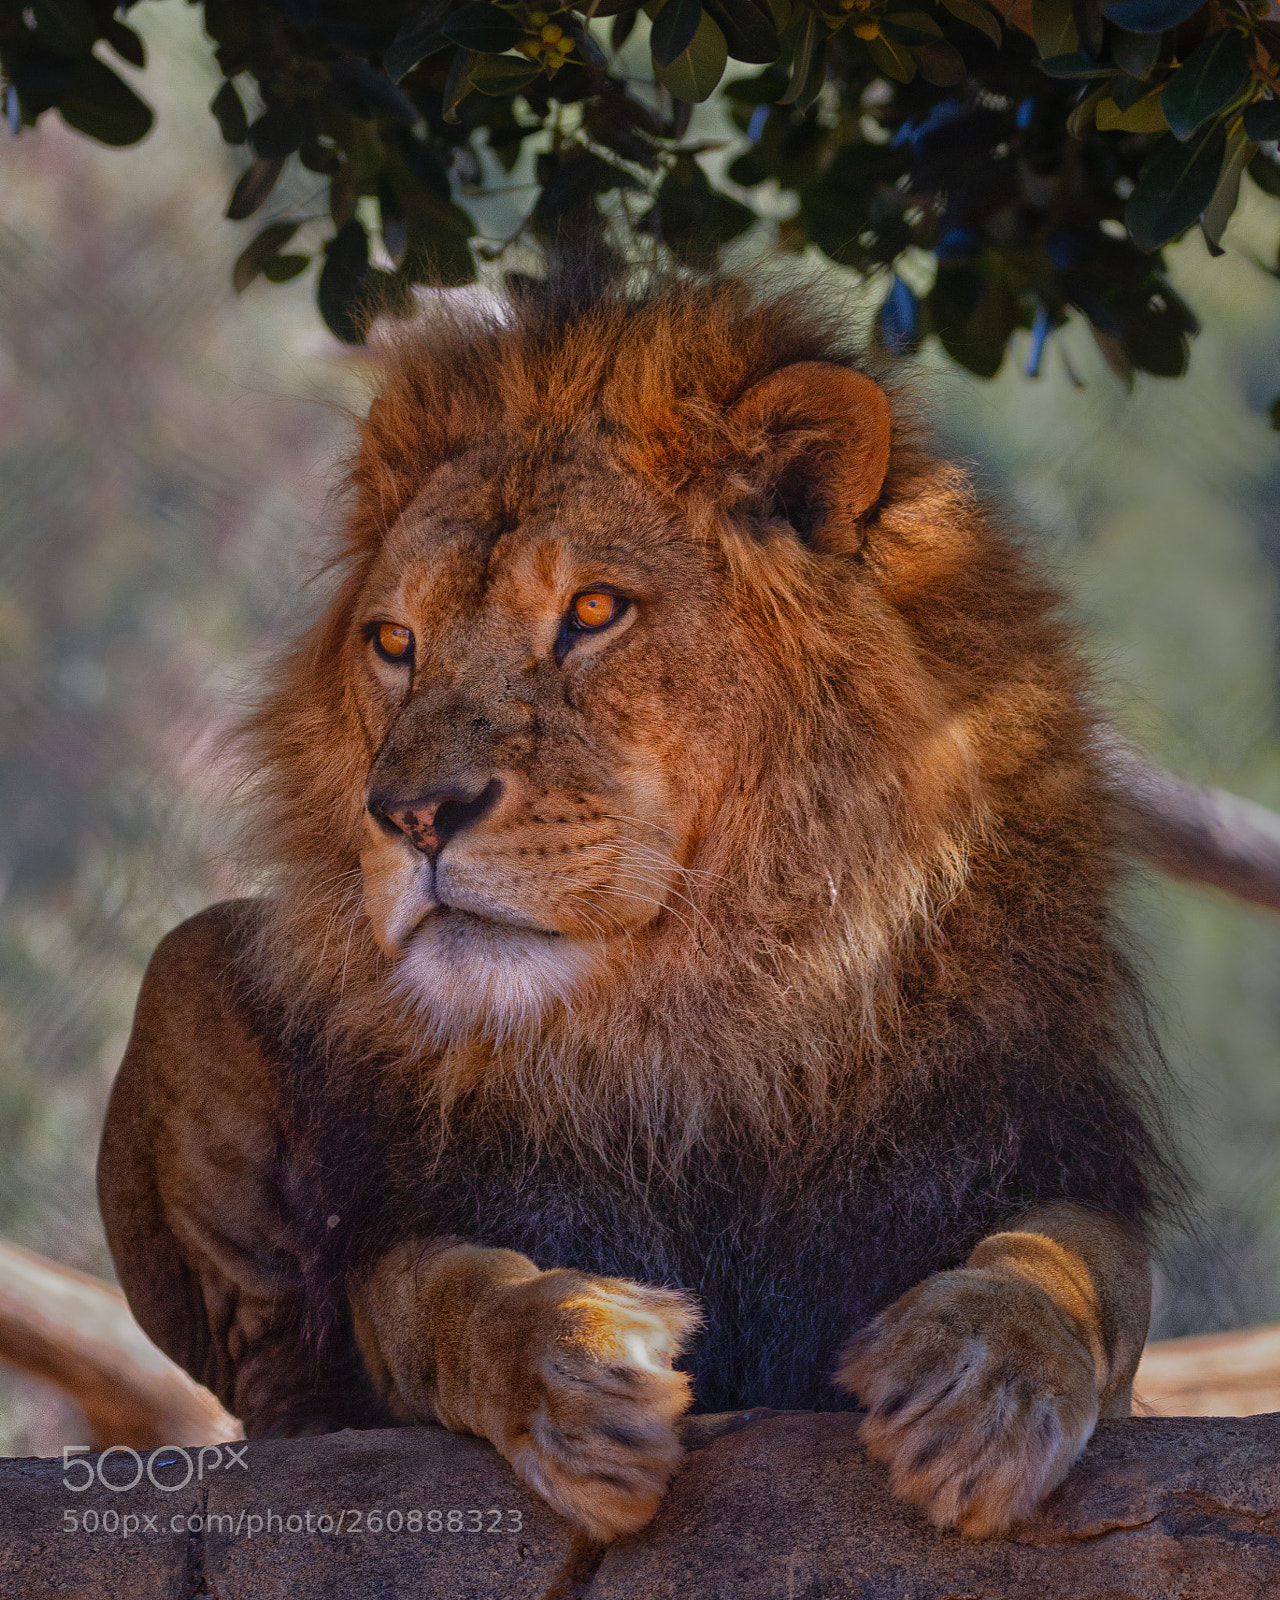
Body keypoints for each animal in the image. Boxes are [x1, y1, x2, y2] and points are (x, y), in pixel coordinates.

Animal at [98, 262, 1170, 1544]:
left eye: (595, 612)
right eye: (395, 641)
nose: (409, 814)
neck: (694, 1016)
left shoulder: (1020, 1135)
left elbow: (1068, 1266)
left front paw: (980, 1384)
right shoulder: (421, 1216)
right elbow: (446, 1292)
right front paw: (576, 1362)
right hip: (190, 959)